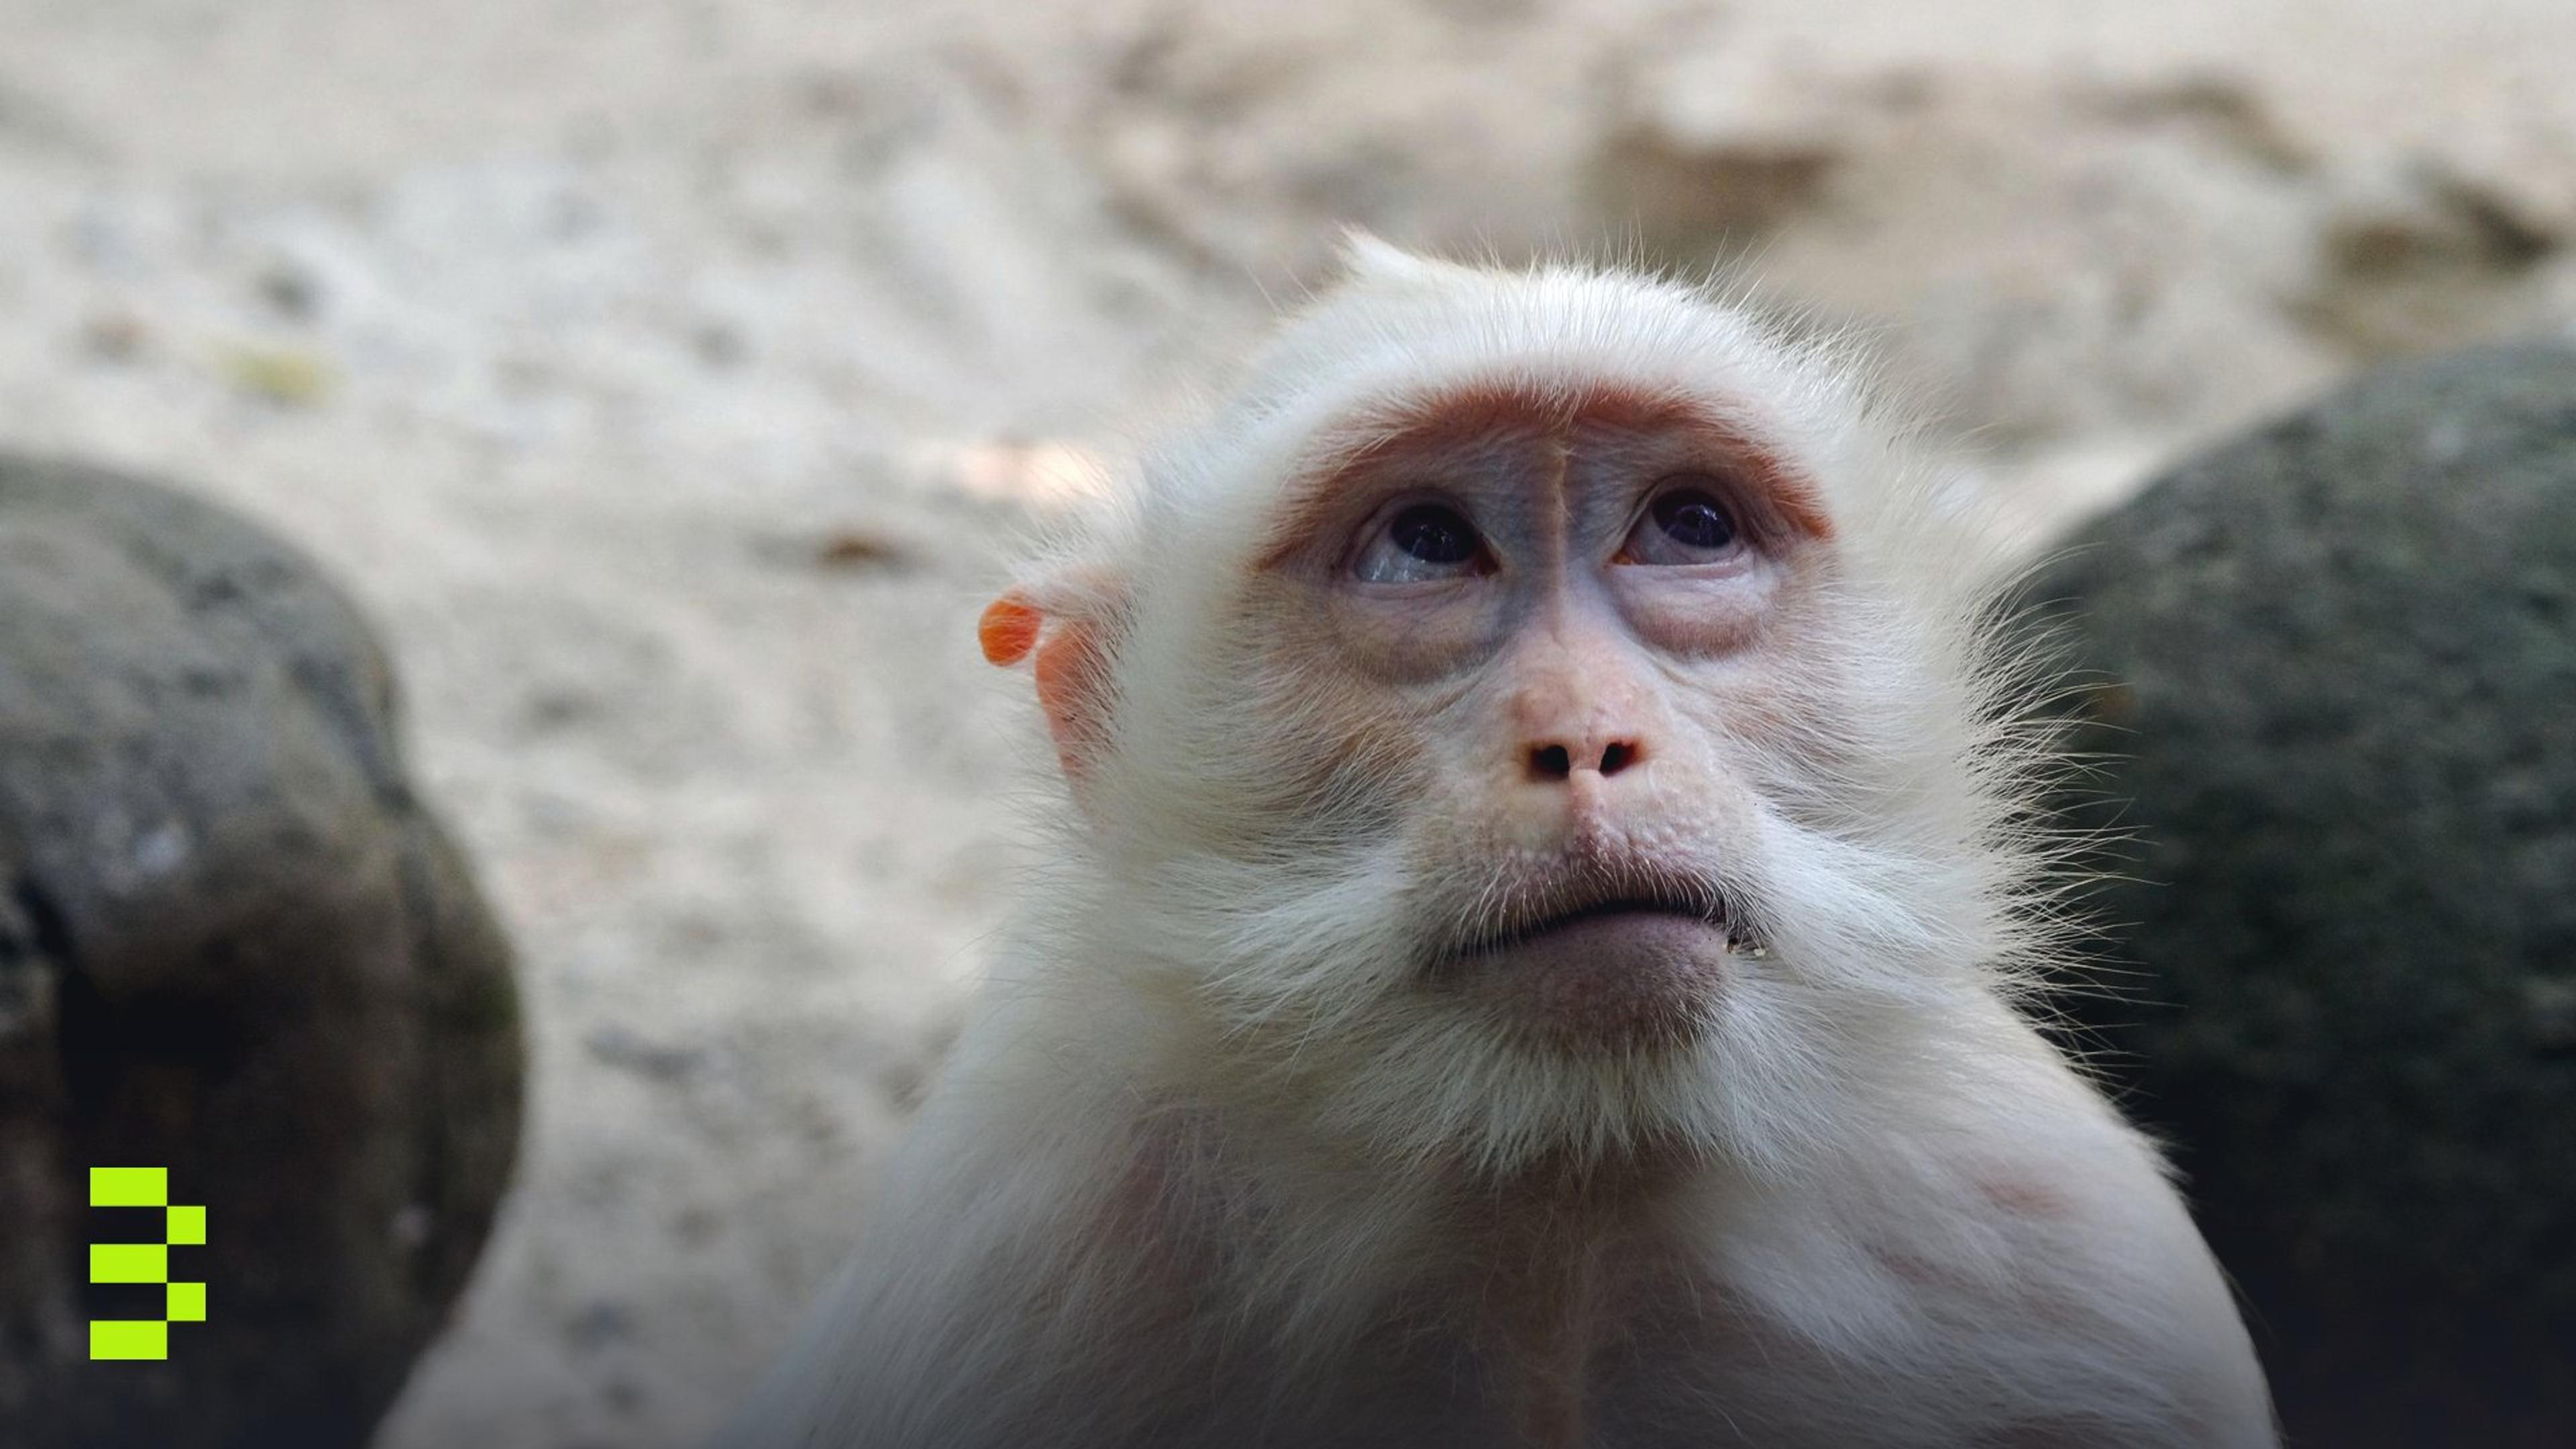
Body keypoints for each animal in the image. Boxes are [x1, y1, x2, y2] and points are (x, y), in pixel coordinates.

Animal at [715, 238, 2278, 1449]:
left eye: (1687, 526)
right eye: (1425, 544)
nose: (1586, 740)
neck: (1556, 1221)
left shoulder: (2075, 1271)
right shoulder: (1008, 1269)